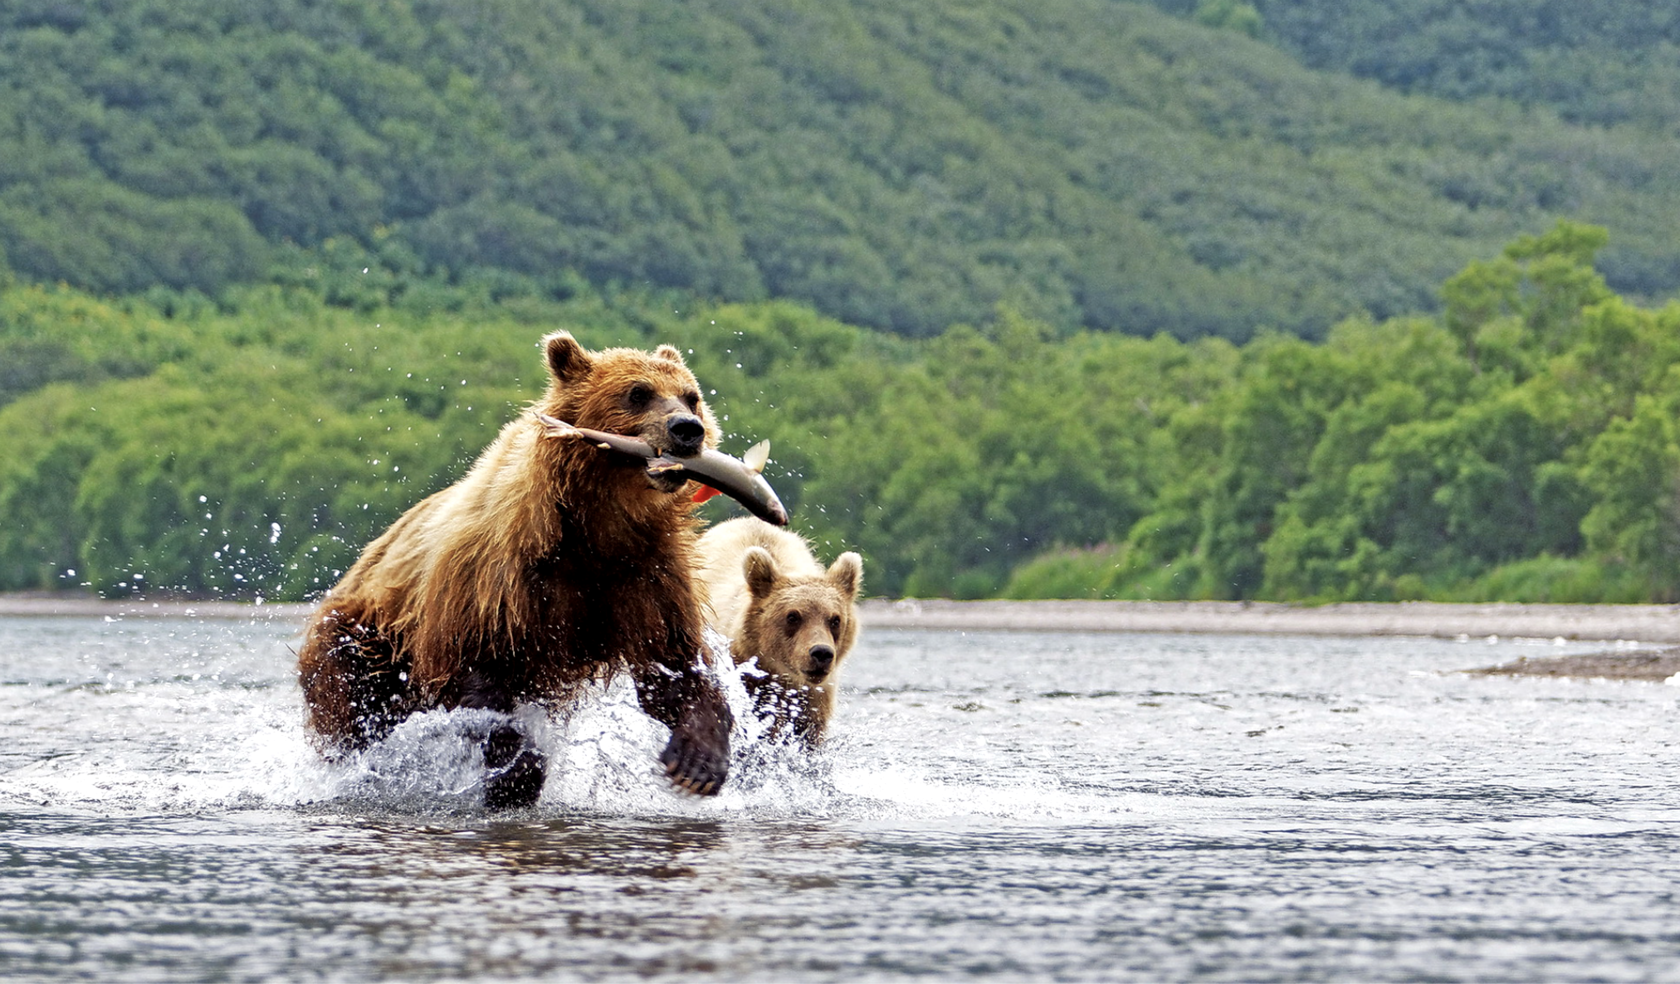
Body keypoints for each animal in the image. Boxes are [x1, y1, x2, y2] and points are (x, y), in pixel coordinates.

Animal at [299, 329, 732, 806]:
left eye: (691, 396)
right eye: (638, 393)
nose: (686, 429)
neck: (593, 523)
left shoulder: (644, 573)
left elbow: (671, 664)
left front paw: (698, 760)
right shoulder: (495, 576)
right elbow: (479, 678)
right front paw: (518, 773)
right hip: (360, 641)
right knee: (357, 715)